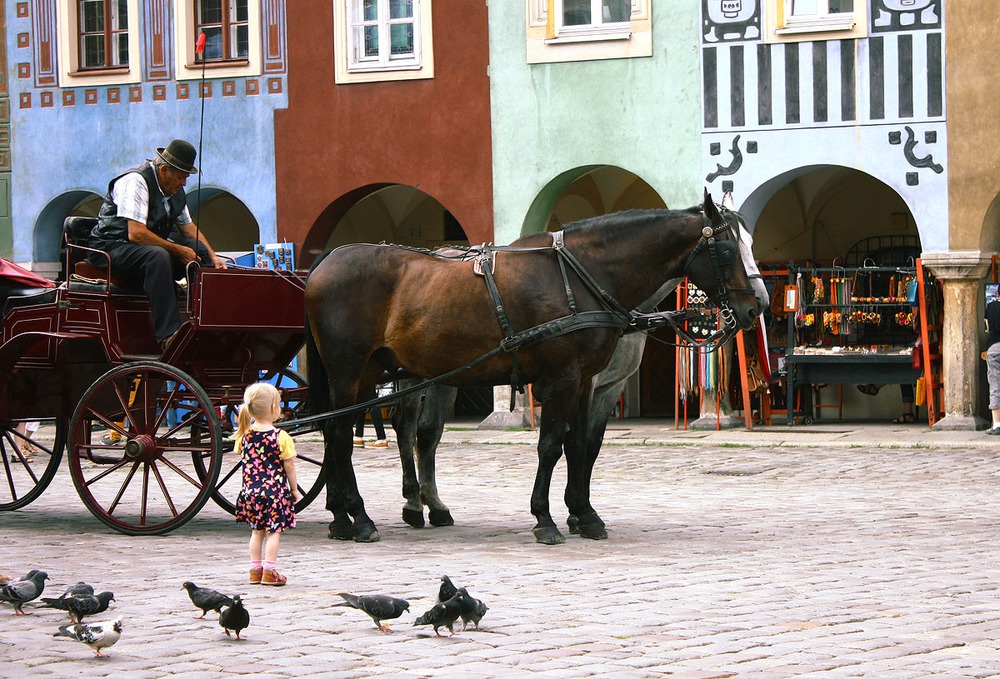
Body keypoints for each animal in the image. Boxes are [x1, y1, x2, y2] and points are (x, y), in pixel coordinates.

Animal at [302, 193, 756, 548]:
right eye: (728, 250)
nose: (755, 308)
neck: (579, 275)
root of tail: (328, 258)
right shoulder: (562, 379)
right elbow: (551, 445)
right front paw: (545, 518)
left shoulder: (586, 382)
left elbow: (580, 447)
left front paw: (584, 514)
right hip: (351, 371)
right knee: (343, 434)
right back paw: (360, 517)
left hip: (370, 373)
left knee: (353, 434)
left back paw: (345, 517)